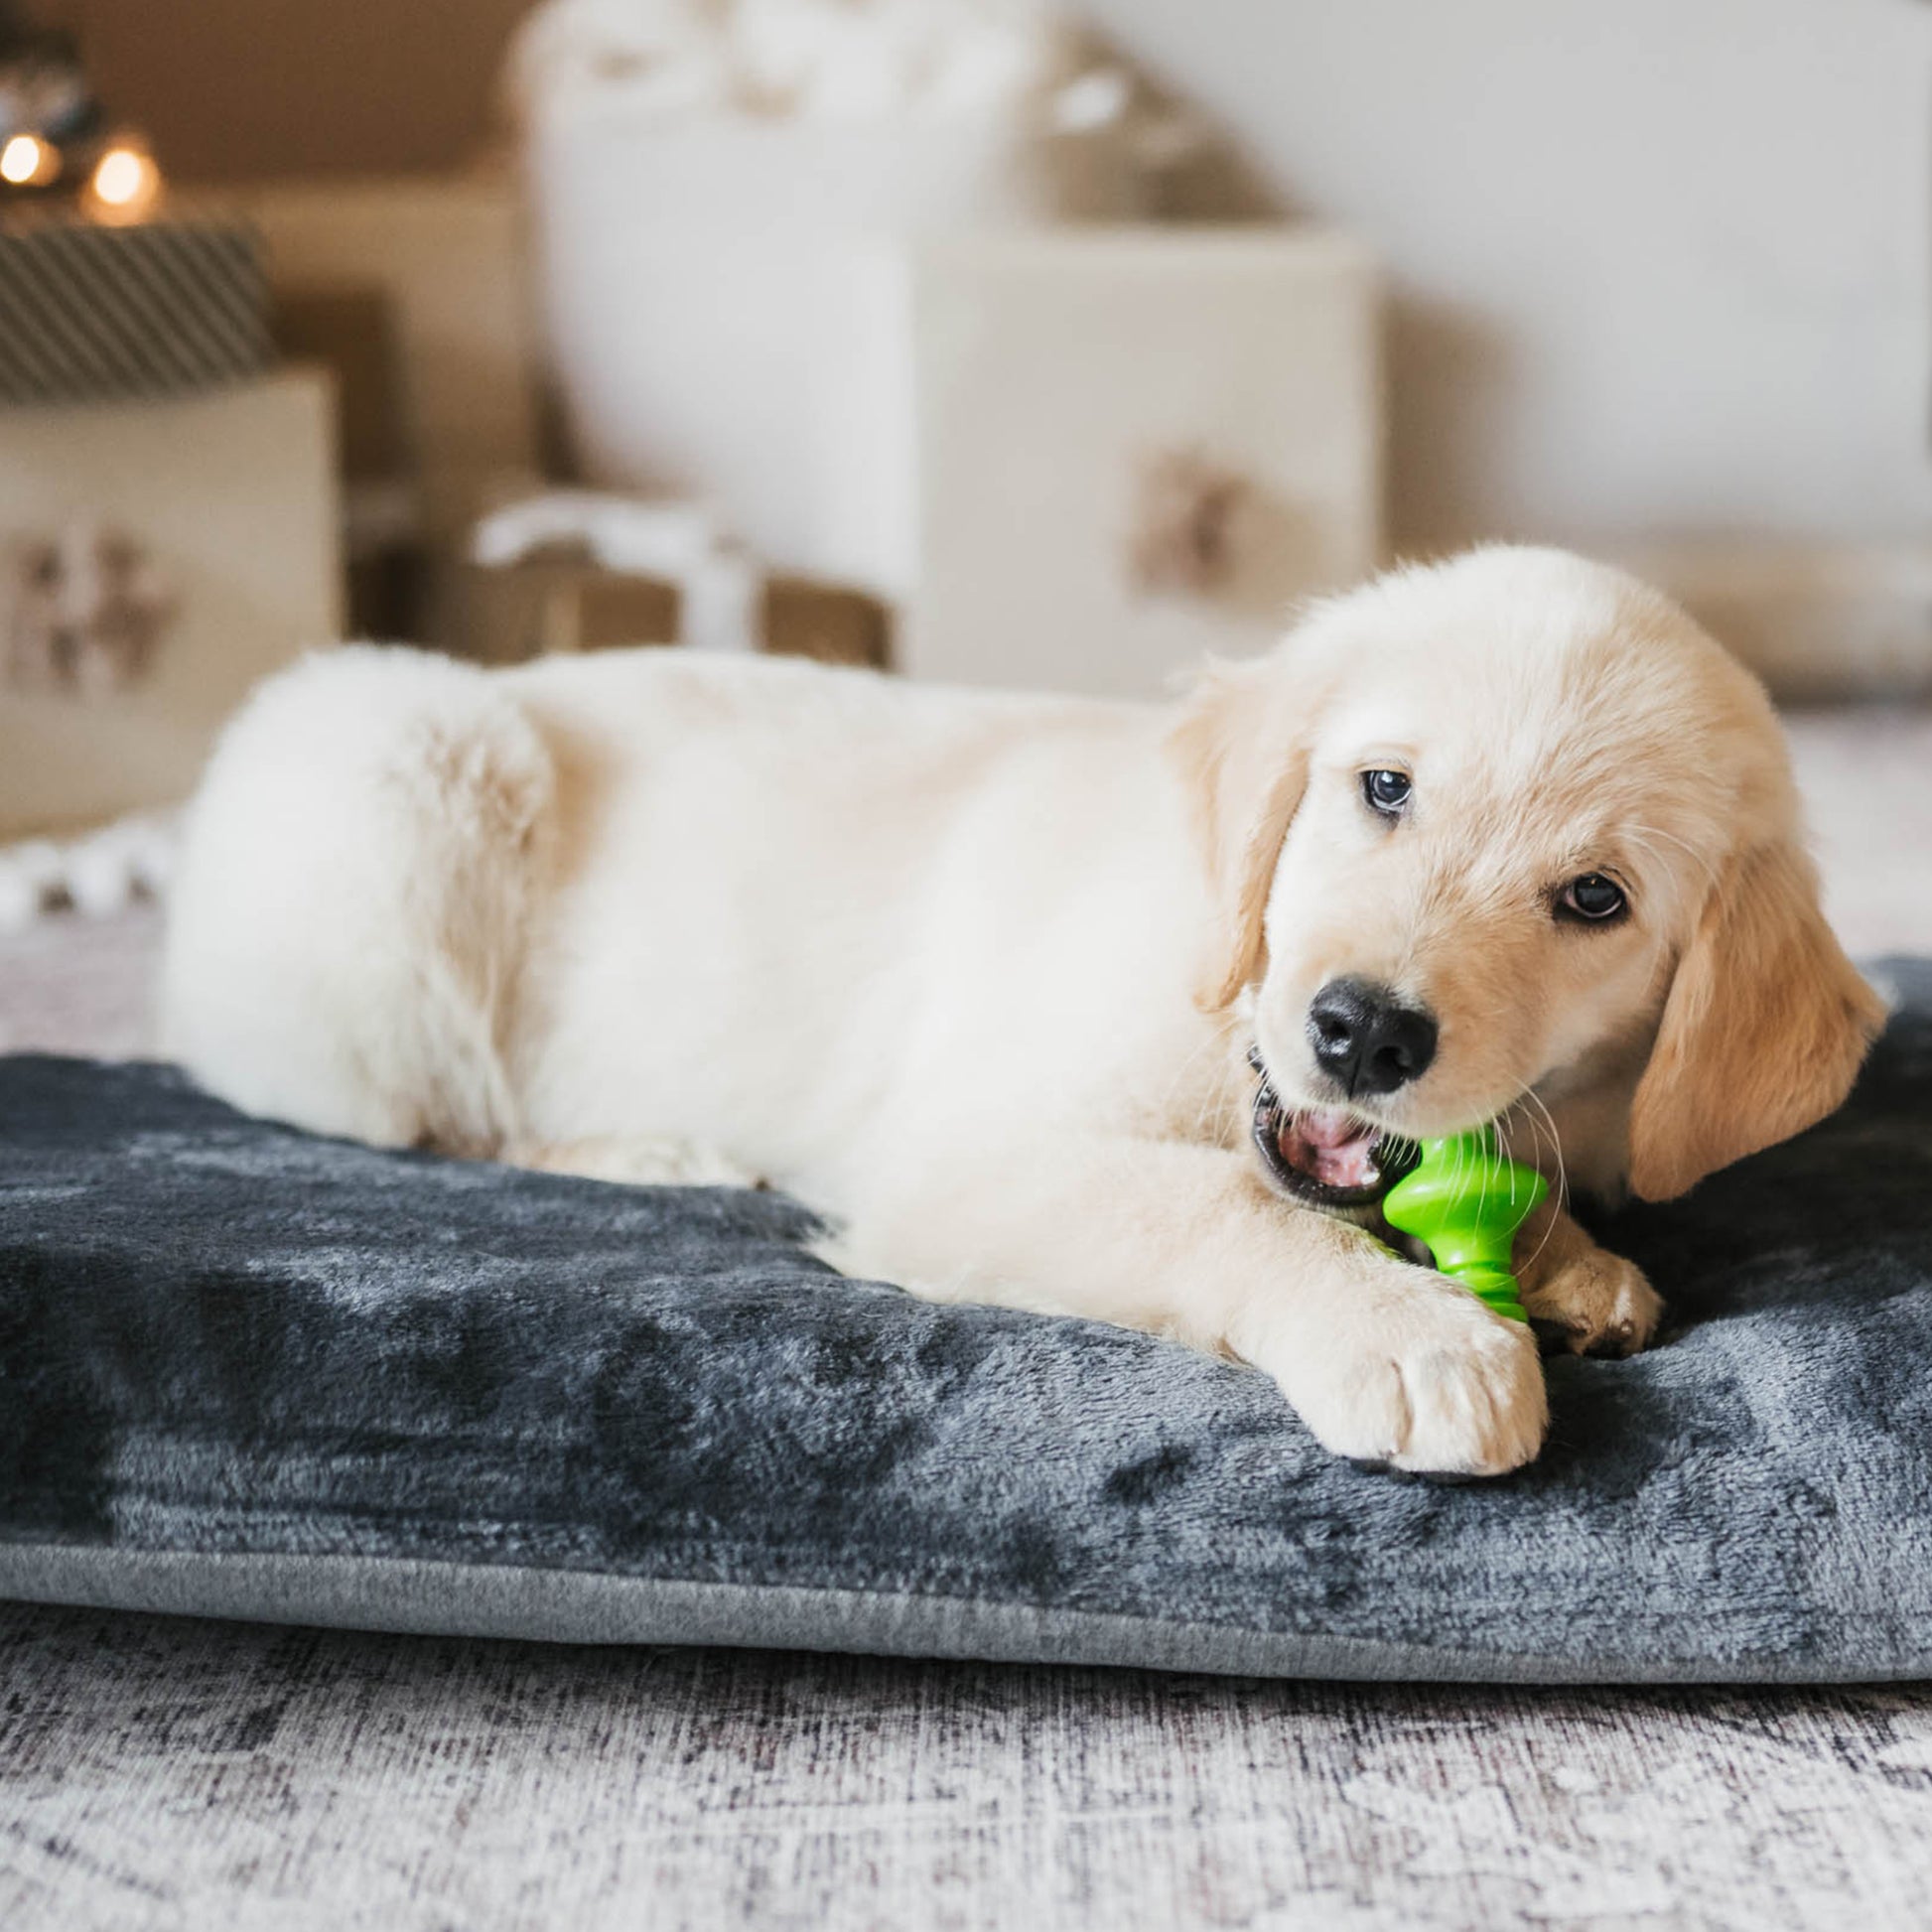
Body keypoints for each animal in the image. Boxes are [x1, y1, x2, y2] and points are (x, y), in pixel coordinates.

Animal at [166, 544, 1885, 1475]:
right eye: (1383, 788)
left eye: (1593, 900)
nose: (1361, 1032)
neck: (1220, 1010)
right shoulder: (954, 1152)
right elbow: (1215, 1203)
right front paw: (1414, 1333)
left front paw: (1572, 1259)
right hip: (405, 768)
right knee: (432, 1114)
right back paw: (648, 1153)